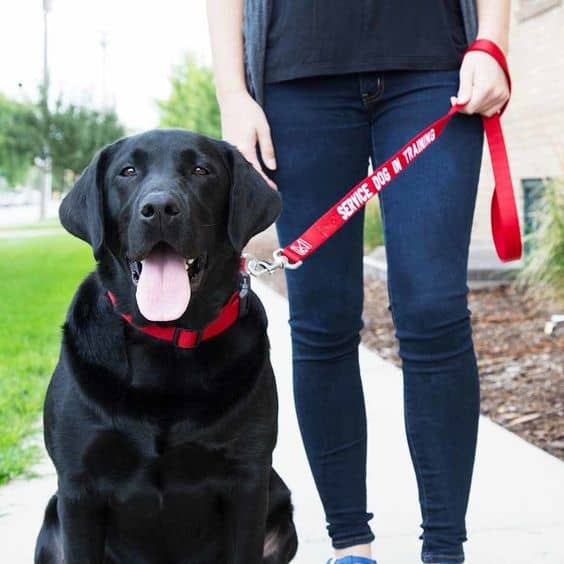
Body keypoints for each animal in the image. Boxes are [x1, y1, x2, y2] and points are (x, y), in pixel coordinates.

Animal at [34, 130, 300, 560]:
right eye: (127, 171)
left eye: (201, 170)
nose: (159, 208)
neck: (164, 339)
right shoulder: (77, 489)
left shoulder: (248, 481)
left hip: (280, 517)